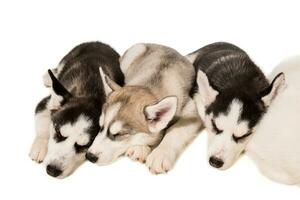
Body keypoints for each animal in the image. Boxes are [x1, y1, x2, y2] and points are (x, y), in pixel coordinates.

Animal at [29, 41, 124, 178]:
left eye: (83, 146)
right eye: (58, 134)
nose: (52, 170)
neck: (90, 93)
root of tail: (99, 42)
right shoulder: (45, 104)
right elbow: (43, 124)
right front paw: (40, 146)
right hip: (68, 57)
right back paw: (49, 76)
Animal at [87, 43, 204, 173]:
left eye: (119, 134)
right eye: (100, 126)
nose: (89, 156)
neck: (149, 87)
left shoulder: (193, 111)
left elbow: (176, 131)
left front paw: (160, 154)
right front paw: (141, 148)